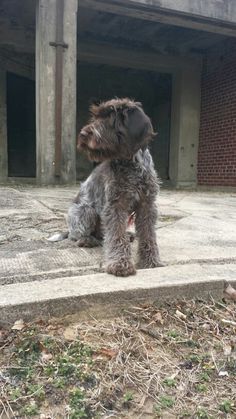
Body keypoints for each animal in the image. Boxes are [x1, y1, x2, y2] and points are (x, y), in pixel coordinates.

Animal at [49, 97, 164, 276]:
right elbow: (116, 235)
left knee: (104, 234)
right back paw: (87, 240)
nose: (82, 134)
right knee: (78, 236)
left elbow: (148, 234)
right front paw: (120, 264)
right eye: (95, 117)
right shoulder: (115, 206)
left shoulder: (147, 205)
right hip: (86, 211)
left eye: (111, 118)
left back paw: (127, 235)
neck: (130, 163)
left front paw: (150, 261)